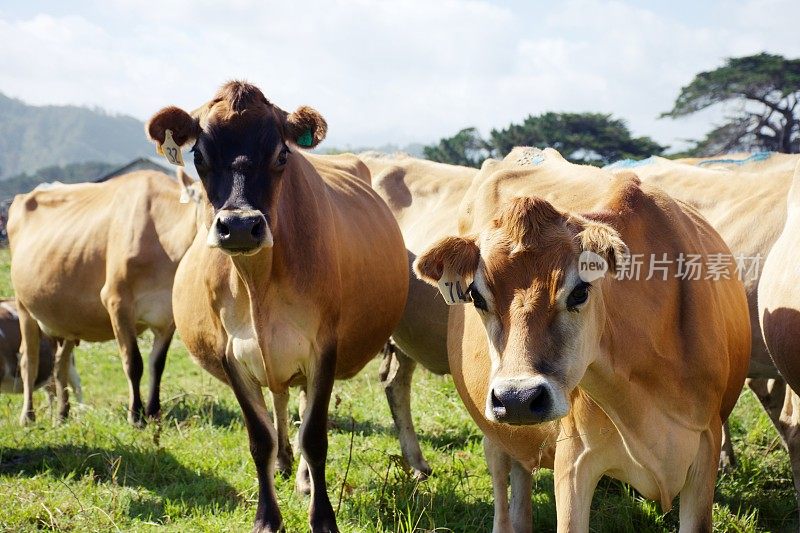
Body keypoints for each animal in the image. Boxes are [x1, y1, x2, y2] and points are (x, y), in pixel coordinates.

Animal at [8, 169, 199, 424]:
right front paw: (136, 416)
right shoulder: (117, 301)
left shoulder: (168, 315)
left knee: (60, 364)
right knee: (29, 361)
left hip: (67, 317)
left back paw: (62, 414)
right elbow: (133, 362)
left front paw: (153, 412)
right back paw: (28, 417)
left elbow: (157, 364)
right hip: (23, 306)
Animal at [145, 82, 406, 532]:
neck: (257, 286)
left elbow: (314, 436)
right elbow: (259, 437)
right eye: (199, 156)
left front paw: (323, 516)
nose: (239, 226)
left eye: (282, 155)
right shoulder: (230, 352)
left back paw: (301, 476)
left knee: (297, 408)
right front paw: (267, 517)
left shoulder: (324, 347)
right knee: (280, 402)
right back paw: (284, 463)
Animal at [416, 149, 752, 532]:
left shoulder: (706, 447)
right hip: (493, 424)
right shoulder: (574, 459)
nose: (518, 398)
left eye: (579, 291)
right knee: (503, 477)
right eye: (476, 296)